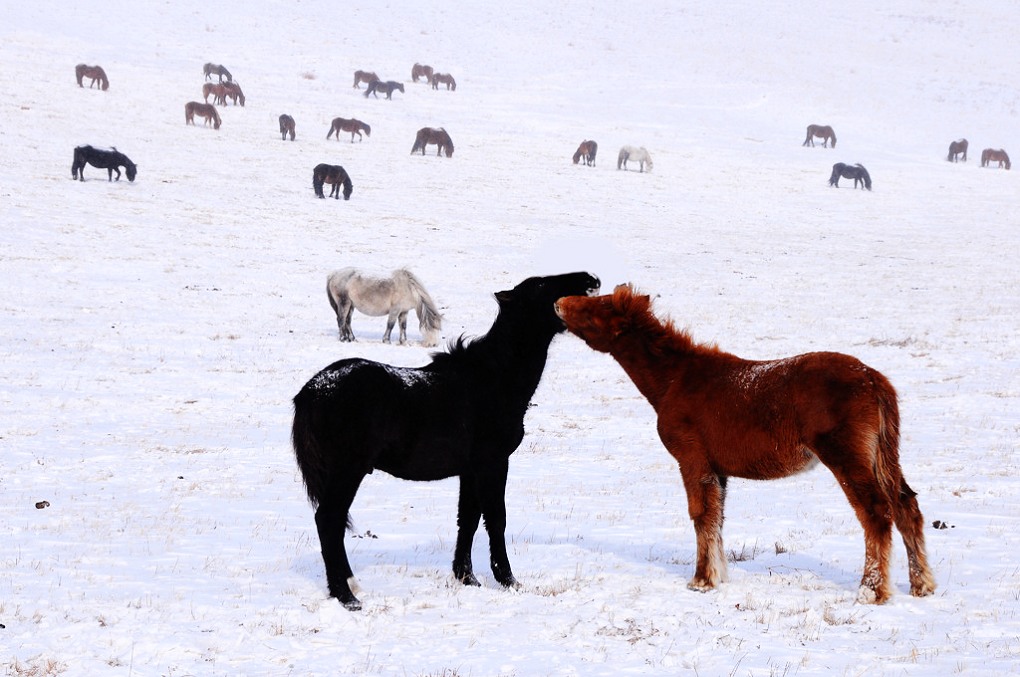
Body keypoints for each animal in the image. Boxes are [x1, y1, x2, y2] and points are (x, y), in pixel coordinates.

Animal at [291, 273, 599, 611]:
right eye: (542, 285)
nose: (590, 279)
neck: (493, 380)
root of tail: (310, 392)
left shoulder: (470, 471)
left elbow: (468, 520)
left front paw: (467, 577)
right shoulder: (493, 464)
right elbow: (496, 520)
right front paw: (508, 580)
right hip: (347, 471)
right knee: (329, 521)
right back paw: (346, 596)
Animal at [554, 283, 934, 603]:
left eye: (597, 308)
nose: (559, 302)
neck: (674, 381)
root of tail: (874, 381)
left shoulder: (692, 459)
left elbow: (700, 515)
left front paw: (701, 581)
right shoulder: (718, 471)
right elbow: (717, 518)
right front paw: (718, 575)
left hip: (847, 456)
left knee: (877, 512)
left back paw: (871, 591)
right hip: (883, 456)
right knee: (907, 507)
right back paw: (922, 585)